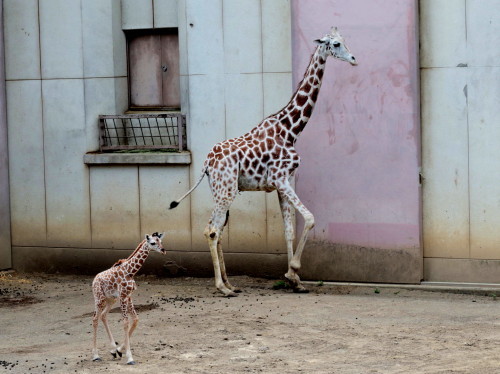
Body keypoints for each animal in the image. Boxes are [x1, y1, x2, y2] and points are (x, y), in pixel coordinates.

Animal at [92, 232, 166, 364]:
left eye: (161, 241)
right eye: (153, 243)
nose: (163, 250)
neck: (130, 271)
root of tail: (94, 280)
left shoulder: (129, 296)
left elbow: (135, 320)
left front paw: (119, 350)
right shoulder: (122, 296)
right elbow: (125, 322)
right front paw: (130, 357)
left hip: (111, 299)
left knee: (103, 315)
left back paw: (113, 350)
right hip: (99, 298)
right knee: (95, 319)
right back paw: (95, 356)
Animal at [170, 27, 358, 296]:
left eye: (344, 40)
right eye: (335, 44)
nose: (353, 59)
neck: (291, 129)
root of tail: (206, 163)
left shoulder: (283, 183)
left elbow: (288, 230)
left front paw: (294, 280)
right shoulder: (280, 179)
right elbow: (310, 218)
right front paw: (293, 270)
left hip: (222, 190)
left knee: (217, 230)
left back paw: (230, 283)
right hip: (226, 191)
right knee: (211, 230)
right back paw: (222, 287)